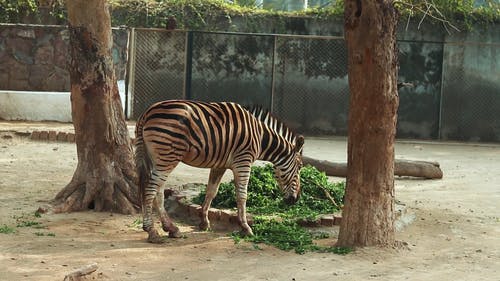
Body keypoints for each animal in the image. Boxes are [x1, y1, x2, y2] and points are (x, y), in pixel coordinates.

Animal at [135, 100, 302, 243]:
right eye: (300, 167)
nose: (295, 200)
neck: (260, 138)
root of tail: (147, 112)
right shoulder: (243, 161)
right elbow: (242, 196)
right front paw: (246, 227)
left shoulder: (219, 165)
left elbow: (211, 191)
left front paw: (204, 222)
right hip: (167, 157)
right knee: (150, 190)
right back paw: (151, 231)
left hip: (158, 158)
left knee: (158, 192)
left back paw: (171, 229)